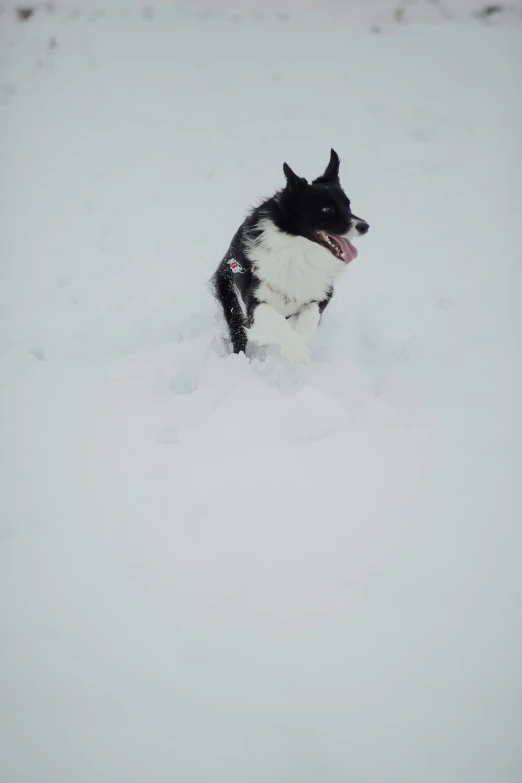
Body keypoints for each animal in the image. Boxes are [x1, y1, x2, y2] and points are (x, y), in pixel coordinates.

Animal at [210, 152, 366, 366]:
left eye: (348, 205)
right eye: (327, 209)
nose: (365, 226)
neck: (300, 251)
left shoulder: (321, 292)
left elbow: (310, 313)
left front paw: (300, 339)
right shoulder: (254, 300)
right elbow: (272, 319)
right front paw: (296, 350)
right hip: (229, 293)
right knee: (238, 332)